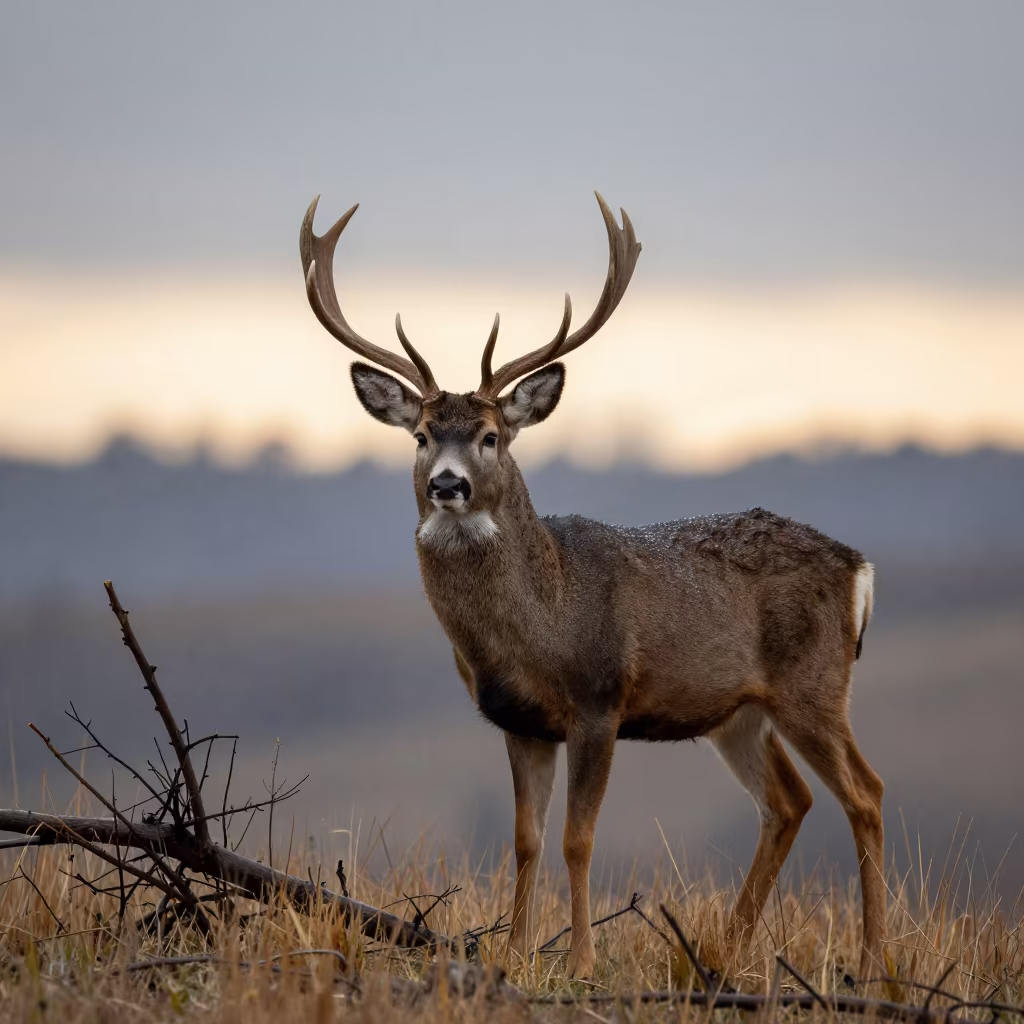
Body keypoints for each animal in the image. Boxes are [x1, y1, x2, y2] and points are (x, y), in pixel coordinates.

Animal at [299, 192, 885, 981]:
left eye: (491, 436)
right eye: (420, 435)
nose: (447, 485)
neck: (541, 623)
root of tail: (858, 567)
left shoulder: (601, 699)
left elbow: (578, 839)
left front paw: (579, 961)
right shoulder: (518, 720)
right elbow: (525, 840)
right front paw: (514, 953)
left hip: (813, 683)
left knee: (865, 793)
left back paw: (875, 961)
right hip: (738, 711)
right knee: (789, 801)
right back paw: (722, 952)